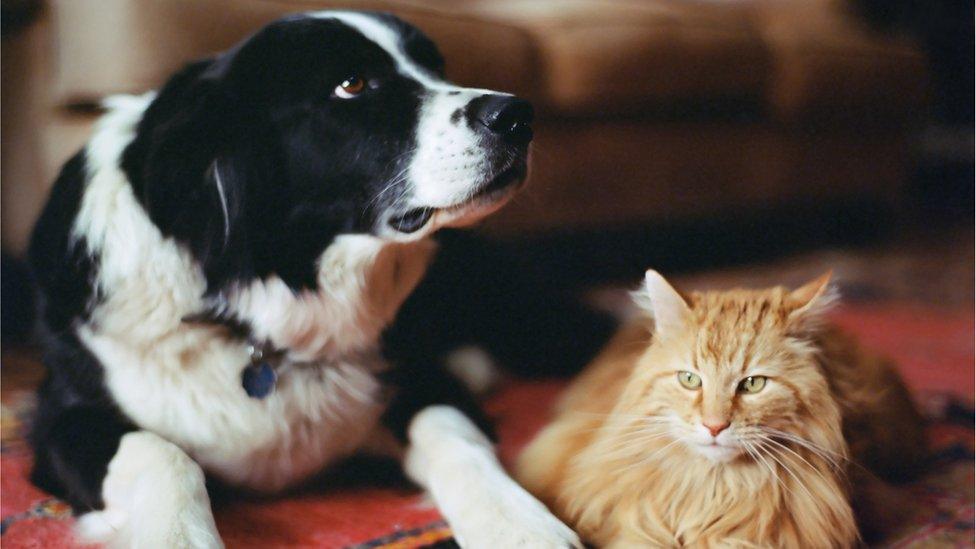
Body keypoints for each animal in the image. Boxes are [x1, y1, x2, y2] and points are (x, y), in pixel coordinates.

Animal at [28, 12, 596, 548]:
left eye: (436, 68)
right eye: (352, 84)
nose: (518, 115)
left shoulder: (422, 379)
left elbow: (452, 434)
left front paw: (519, 525)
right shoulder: (61, 418)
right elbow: (159, 451)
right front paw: (177, 535)